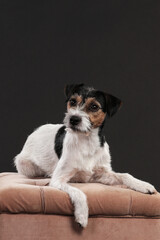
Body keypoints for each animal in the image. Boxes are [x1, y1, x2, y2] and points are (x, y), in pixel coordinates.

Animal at [14, 84, 156, 227]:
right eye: (72, 101)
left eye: (94, 106)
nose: (73, 119)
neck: (87, 141)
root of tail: (36, 130)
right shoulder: (58, 180)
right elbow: (79, 192)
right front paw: (82, 215)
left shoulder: (100, 174)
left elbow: (125, 175)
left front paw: (143, 185)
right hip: (25, 165)